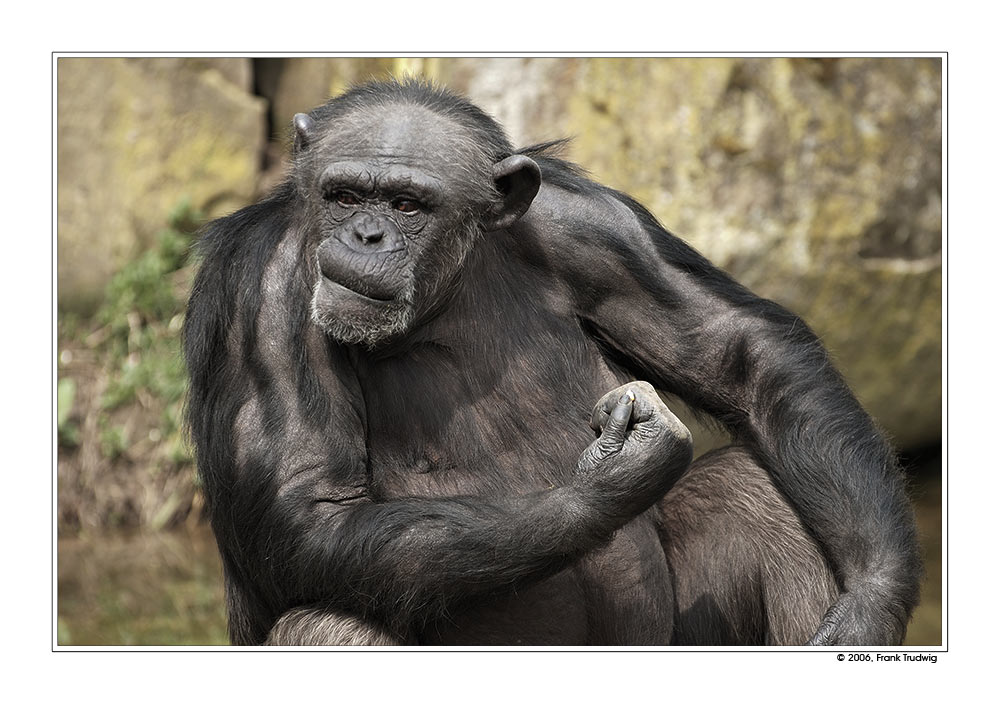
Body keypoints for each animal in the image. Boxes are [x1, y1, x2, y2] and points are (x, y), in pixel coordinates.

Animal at [184, 75, 916, 644]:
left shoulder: (593, 225)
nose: (366, 235)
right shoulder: (264, 296)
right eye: (342, 195)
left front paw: (873, 601)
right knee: (330, 621)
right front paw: (609, 481)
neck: (444, 292)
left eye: (406, 203)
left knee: (755, 490)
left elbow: (736, 346)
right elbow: (314, 509)